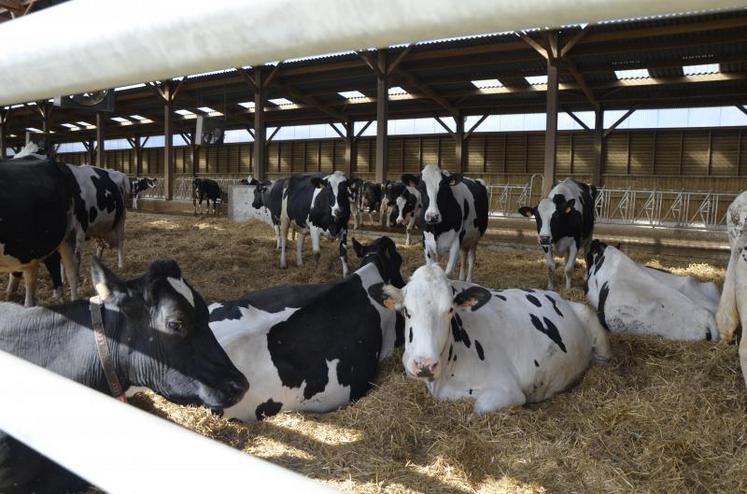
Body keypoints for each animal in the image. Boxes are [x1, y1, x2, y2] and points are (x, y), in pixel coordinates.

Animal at [376, 262, 612, 416]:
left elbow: (477, 410)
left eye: (450, 310)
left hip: (595, 329)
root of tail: (562, 298)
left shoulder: (508, 391)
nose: (425, 365)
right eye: (406, 310)